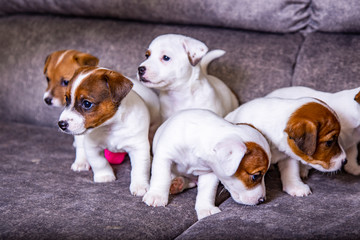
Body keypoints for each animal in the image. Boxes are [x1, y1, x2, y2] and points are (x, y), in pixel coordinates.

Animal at [58, 66, 160, 197]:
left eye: (87, 103)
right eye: (66, 98)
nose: (61, 124)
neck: (110, 126)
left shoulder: (138, 147)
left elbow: (140, 168)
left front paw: (140, 185)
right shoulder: (92, 146)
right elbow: (99, 162)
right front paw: (105, 176)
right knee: (80, 146)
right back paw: (81, 162)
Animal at [142, 109, 272, 220]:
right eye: (255, 176)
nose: (262, 200)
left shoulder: (210, 172)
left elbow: (207, 191)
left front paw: (206, 208)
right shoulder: (164, 155)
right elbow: (161, 176)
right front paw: (157, 196)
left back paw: (179, 184)